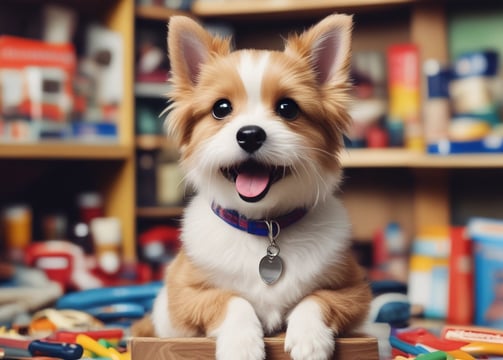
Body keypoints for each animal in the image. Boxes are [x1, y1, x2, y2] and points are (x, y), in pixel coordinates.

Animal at [132, 13, 372, 360]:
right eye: (221, 108)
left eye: (288, 108)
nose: (249, 134)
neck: (264, 226)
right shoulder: (180, 297)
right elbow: (229, 299)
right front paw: (241, 342)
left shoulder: (355, 290)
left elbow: (317, 298)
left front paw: (309, 338)